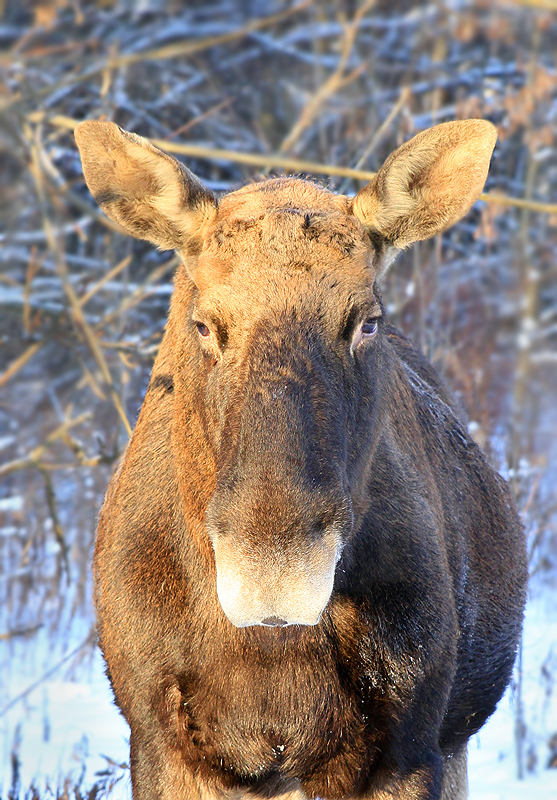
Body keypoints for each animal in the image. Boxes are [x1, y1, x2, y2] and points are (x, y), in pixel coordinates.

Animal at [76, 119, 528, 800]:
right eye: (204, 324)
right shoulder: (160, 742)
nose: (276, 572)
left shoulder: (411, 742)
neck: (271, 660)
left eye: (366, 321)